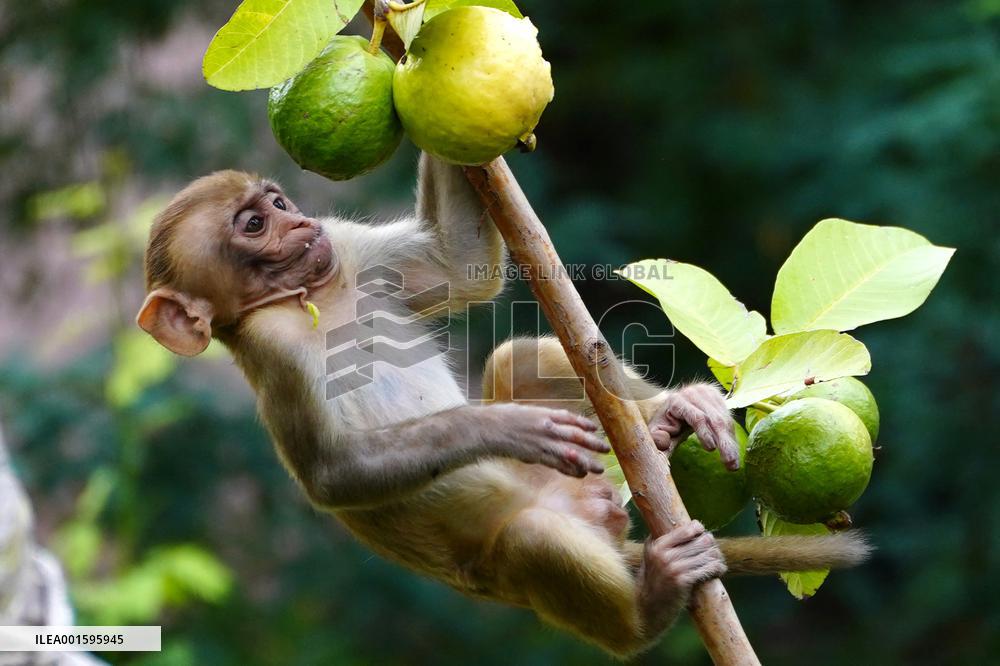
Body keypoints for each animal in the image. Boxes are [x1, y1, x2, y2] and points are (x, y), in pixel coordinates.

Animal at [136, 154, 870, 657]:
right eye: (256, 224)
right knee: (533, 540)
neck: (314, 296)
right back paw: (650, 607)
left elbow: (456, 265)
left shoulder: (345, 248)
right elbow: (331, 476)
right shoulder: (276, 352)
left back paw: (668, 419)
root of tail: (606, 525)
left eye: (279, 200)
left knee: (520, 357)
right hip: (516, 559)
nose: (299, 221)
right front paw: (502, 428)